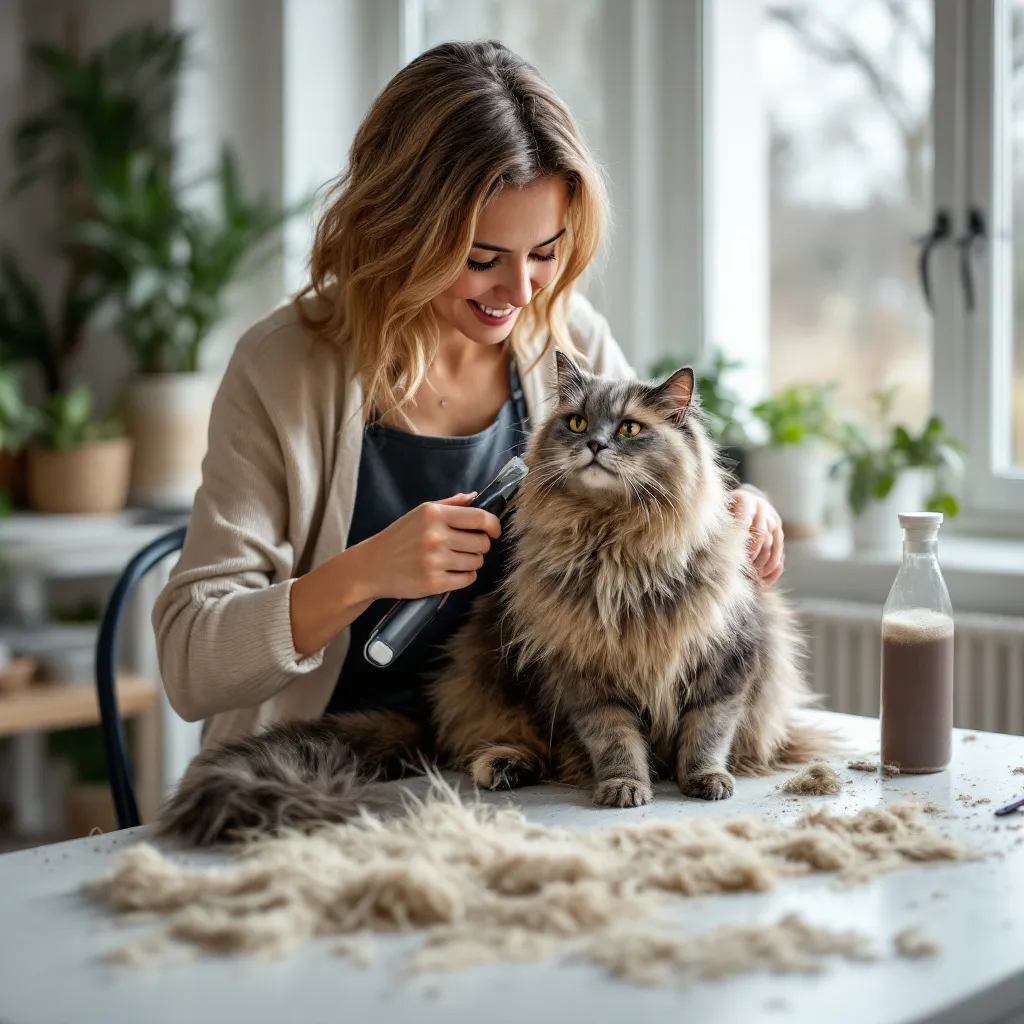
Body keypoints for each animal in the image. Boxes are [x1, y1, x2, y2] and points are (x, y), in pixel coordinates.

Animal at [161, 356, 831, 843]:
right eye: (578, 423)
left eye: (630, 429)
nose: (595, 446)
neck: (615, 550)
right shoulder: (586, 676)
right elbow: (616, 740)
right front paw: (625, 786)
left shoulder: (728, 662)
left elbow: (706, 732)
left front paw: (706, 780)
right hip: (494, 673)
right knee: (499, 741)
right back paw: (509, 766)